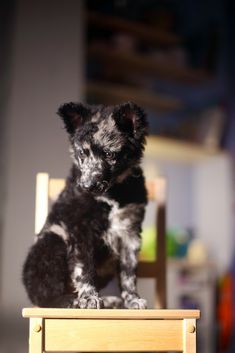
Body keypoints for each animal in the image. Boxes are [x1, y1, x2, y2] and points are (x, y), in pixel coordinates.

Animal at [23, 100, 148, 306]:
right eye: (82, 153)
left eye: (109, 154)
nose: (87, 186)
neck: (112, 193)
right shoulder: (80, 228)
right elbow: (84, 268)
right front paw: (89, 297)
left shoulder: (130, 232)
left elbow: (128, 272)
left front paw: (132, 299)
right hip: (52, 242)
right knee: (46, 297)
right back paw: (71, 301)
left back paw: (110, 301)